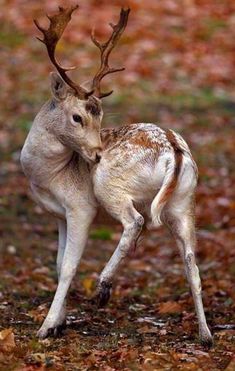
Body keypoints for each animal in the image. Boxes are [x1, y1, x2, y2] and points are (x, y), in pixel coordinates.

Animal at [20, 4, 213, 348]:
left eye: (98, 117)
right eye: (78, 117)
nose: (97, 155)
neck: (47, 176)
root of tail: (173, 150)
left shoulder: (80, 207)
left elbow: (67, 266)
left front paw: (46, 327)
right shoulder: (59, 215)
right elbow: (57, 262)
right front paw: (60, 323)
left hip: (108, 186)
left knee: (135, 221)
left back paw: (103, 286)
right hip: (184, 203)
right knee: (192, 262)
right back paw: (205, 335)